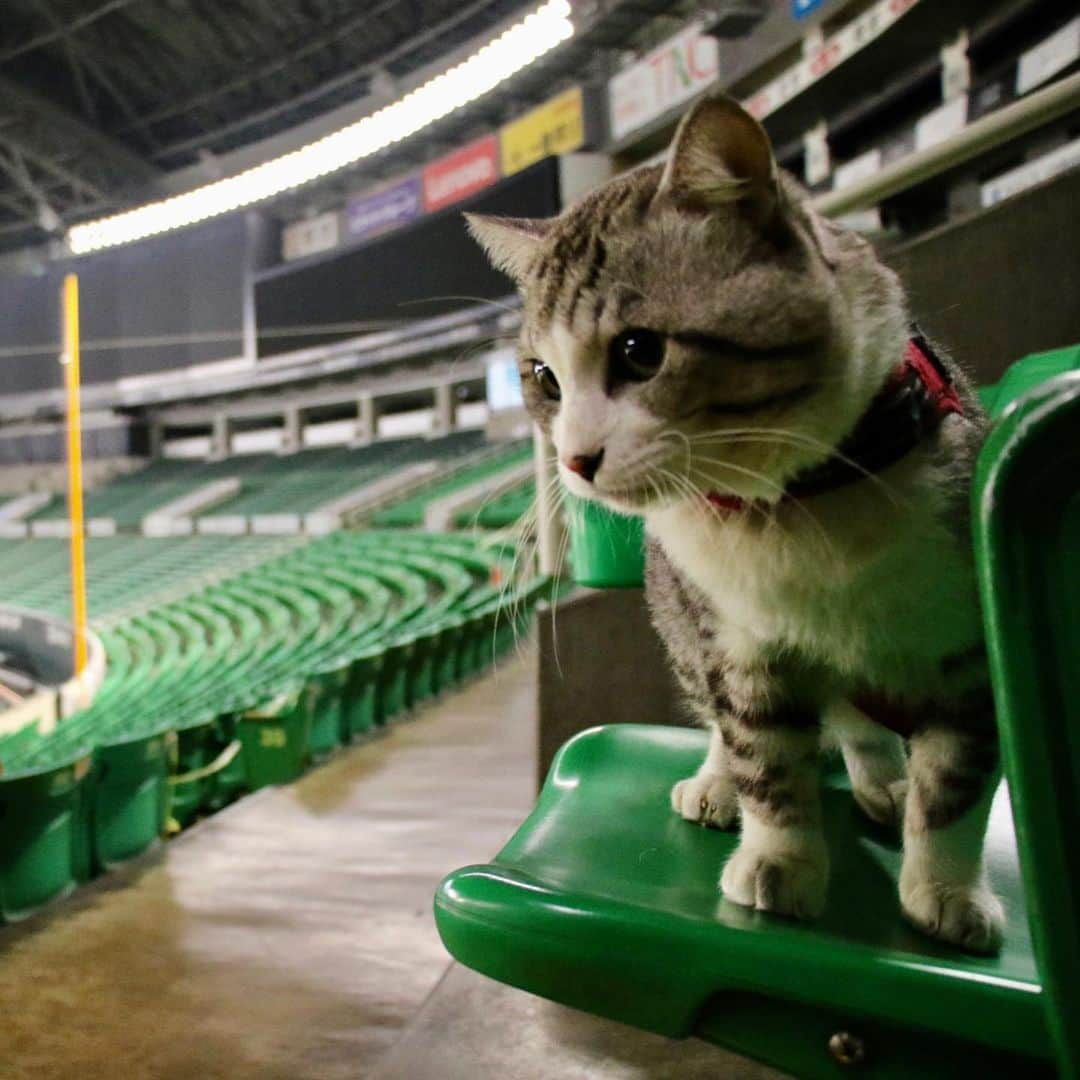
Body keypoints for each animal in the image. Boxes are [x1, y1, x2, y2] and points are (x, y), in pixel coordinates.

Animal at [468, 95, 997, 954]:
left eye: (640, 351)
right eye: (542, 376)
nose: (574, 458)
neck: (787, 512)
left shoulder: (967, 649)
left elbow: (955, 785)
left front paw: (947, 888)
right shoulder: (737, 639)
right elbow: (763, 754)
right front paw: (779, 858)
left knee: (865, 729)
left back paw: (883, 775)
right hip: (683, 627)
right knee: (728, 719)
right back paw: (720, 783)